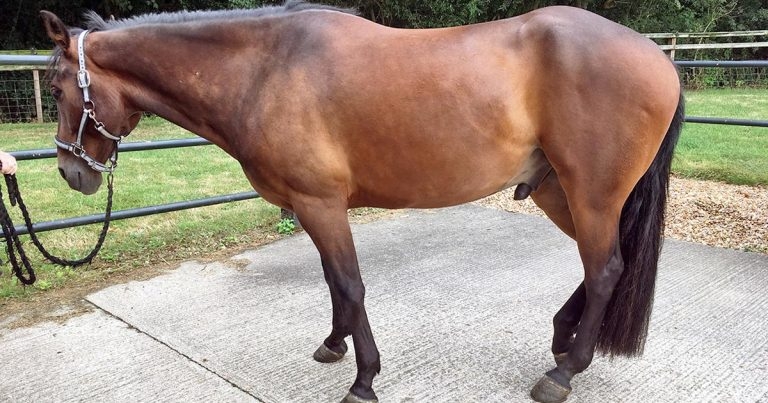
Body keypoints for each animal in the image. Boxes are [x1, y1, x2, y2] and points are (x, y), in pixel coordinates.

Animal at [40, 2, 683, 402]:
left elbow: (350, 284)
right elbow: (333, 282)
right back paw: (564, 339)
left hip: (591, 195)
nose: (71, 172)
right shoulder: (314, 207)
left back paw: (564, 371)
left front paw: (364, 379)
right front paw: (334, 345)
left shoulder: (320, 203)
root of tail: (660, 58)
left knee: (606, 270)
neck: (266, 69)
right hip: (559, 193)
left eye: (56, 87)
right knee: (605, 268)